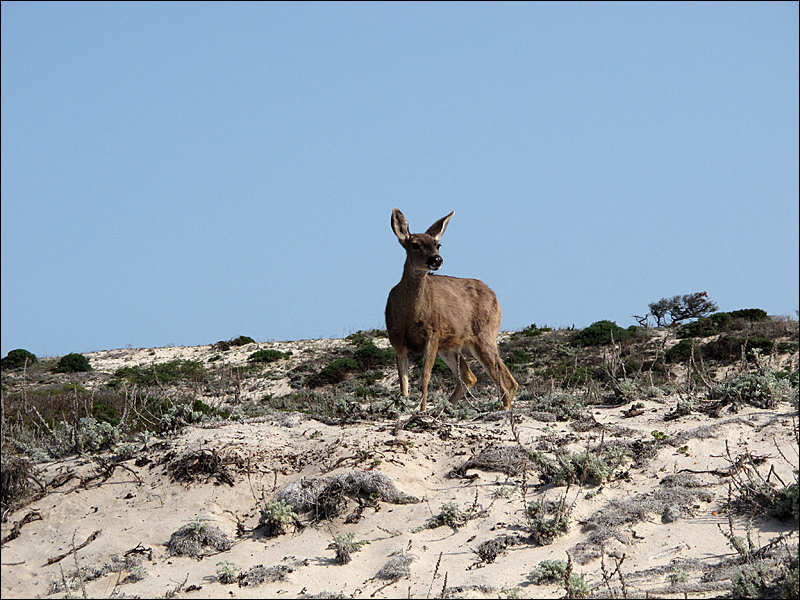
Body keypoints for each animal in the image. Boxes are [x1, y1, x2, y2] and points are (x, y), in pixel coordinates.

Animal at [382, 207, 520, 412]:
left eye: (438, 245)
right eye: (415, 245)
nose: (436, 259)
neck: (410, 314)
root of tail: (495, 298)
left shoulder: (433, 332)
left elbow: (425, 376)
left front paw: (421, 411)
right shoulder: (396, 337)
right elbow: (403, 381)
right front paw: (405, 408)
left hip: (484, 334)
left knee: (507, 382)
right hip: (450, 345)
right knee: (469, 376)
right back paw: (444, 410)